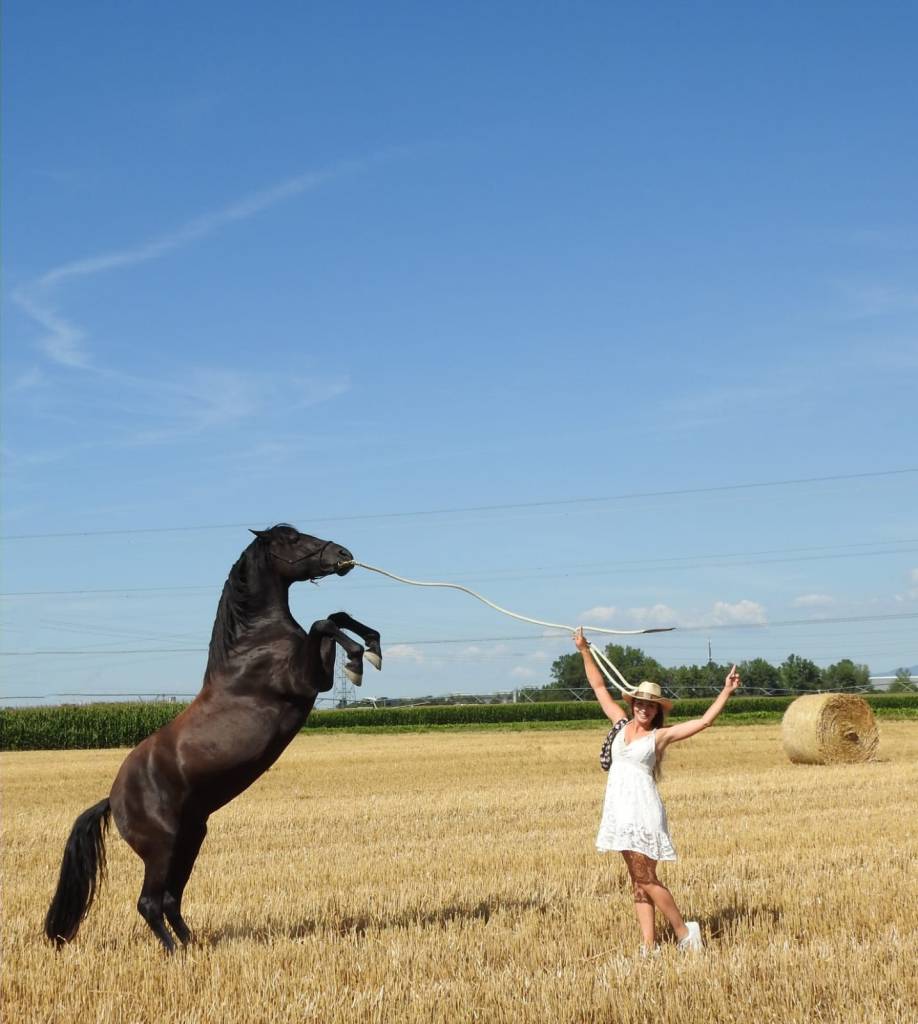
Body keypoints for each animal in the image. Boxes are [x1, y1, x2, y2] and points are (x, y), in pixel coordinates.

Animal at [44, 523, 380, 952]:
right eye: (291, 539)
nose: (343, 554)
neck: (255, 643)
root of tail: (112, 799)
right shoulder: (310, 681)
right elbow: (324, 624)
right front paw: (359, 660)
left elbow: (335, 616)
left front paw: (373, 645)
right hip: (163, 847)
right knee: (149, 903)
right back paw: (176, 953)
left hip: (191, 838)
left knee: (170, 900)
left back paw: (192, 947)